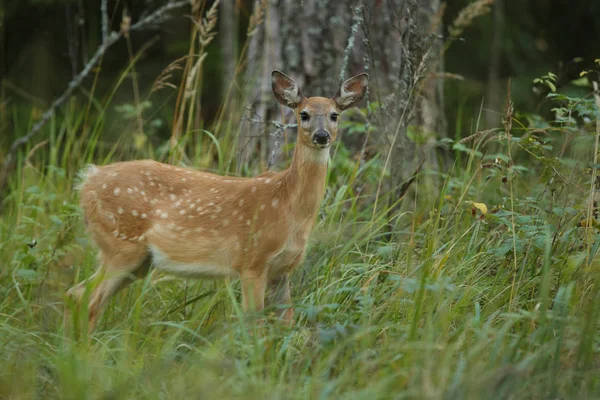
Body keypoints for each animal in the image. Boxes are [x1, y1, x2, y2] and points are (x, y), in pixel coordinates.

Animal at [64, 69, 366, 332]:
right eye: (304, 114)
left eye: (334, 115)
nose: (321, 136)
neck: (288, 207)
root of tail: (87, 180)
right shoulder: (252, 261)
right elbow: (254, 323)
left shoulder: (283, 271)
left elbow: (286, 324)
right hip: (120, 245)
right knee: (86, 298)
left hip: (138, 262)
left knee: (78, 294)